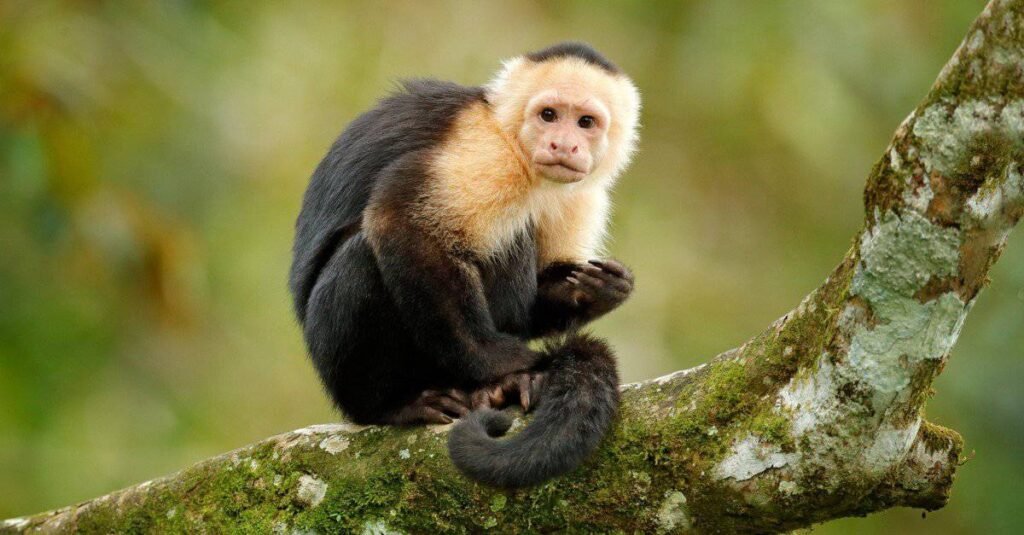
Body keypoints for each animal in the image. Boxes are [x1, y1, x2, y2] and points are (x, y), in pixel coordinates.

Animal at [289, 42, 640, 488]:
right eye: (549, 115)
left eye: (586, 122)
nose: (564, 145)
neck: (516, 146)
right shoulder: (486, 153)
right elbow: (403, 222)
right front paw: (504, 363)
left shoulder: (582, 194)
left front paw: (596, 292)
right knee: (366, 255)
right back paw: (394, 405)